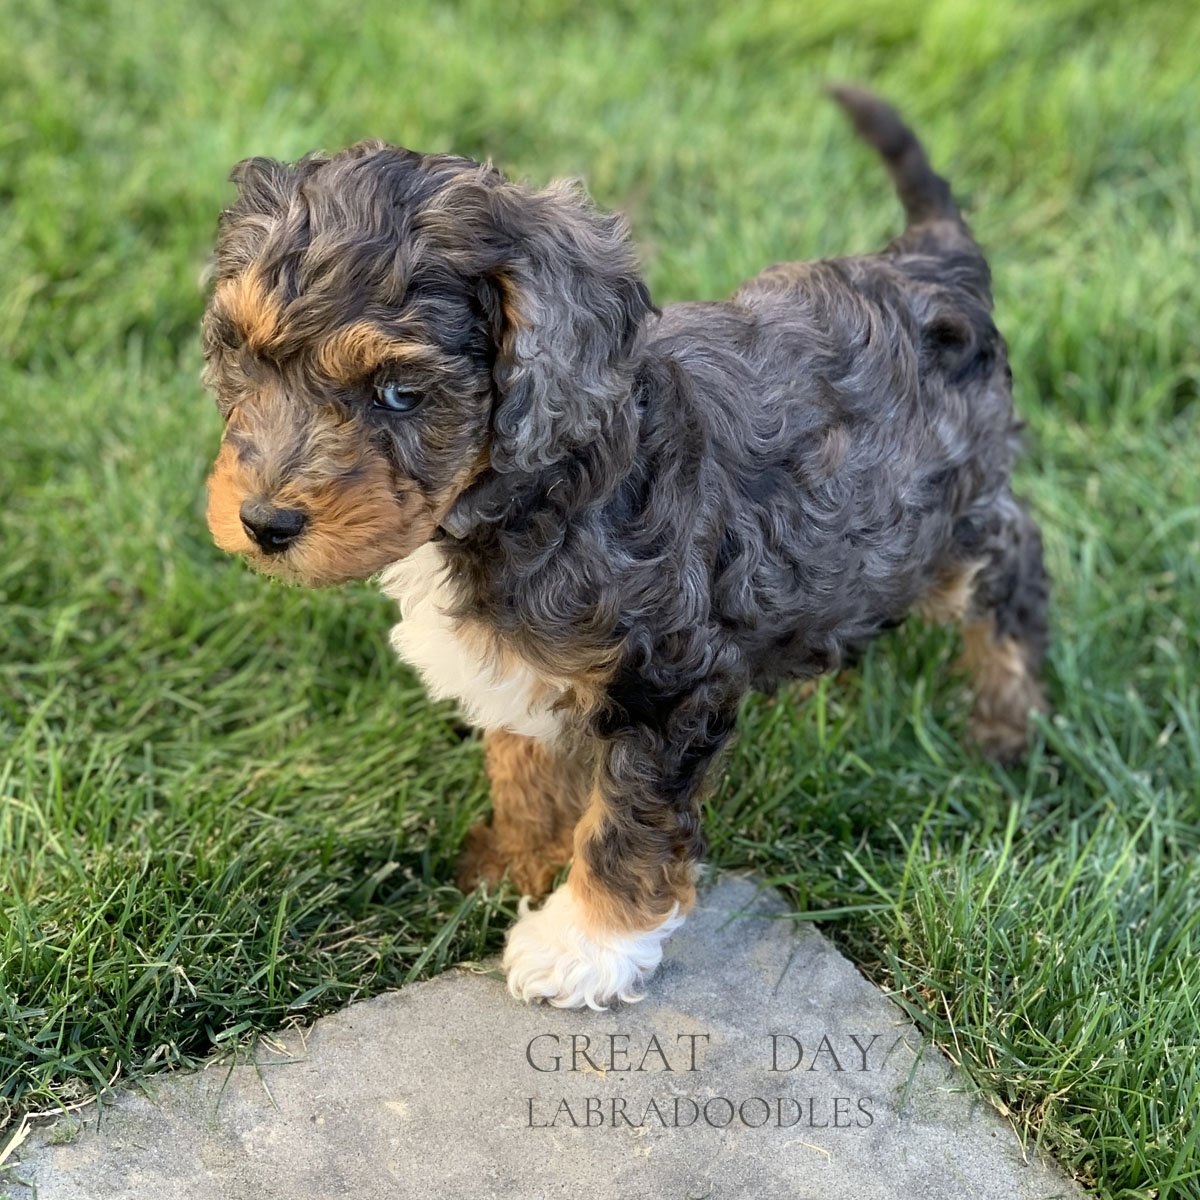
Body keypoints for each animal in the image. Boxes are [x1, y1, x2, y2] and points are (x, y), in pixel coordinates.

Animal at [201, 88, 1046, 1012]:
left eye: (397, 392)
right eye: (241, 353)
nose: (264, 523)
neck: (534, 486)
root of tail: (929, 260)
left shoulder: (670, 681)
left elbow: (624, 821)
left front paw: (581, 943)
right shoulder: (526, 663)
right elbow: (525, 761)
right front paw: (517, 861)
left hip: (953, 515)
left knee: (1015, 570)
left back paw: (1007, 725)